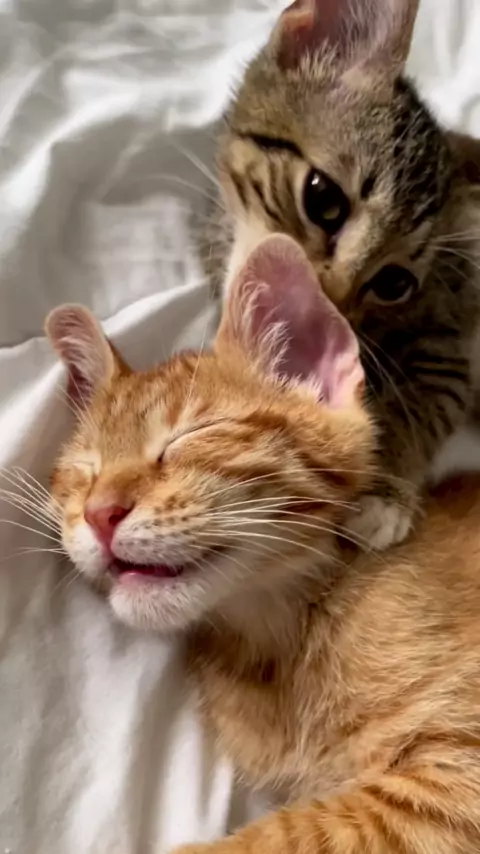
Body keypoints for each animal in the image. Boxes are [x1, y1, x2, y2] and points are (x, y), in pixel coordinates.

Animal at [47, 235, 480, 853]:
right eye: (84, 471)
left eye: (190, 437)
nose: (99, 513)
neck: (282, 641)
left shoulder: (453, 771)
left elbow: (280, 837)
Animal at [206, 0, 480, 550]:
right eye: (323, 199)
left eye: (395, 283)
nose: (326, 303)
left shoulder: (448, 345)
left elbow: (421, 406)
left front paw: (381, 492)